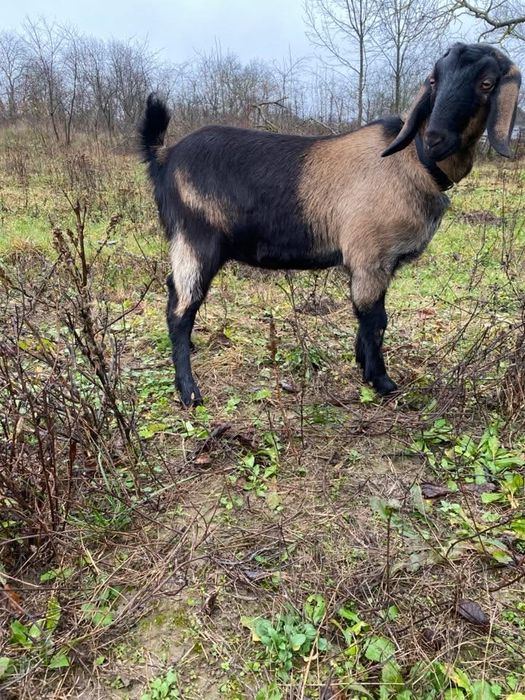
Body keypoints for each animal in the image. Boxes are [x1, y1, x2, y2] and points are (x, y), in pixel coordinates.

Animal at [140, 43, 521, 407]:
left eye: (487, 84)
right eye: (434, 80)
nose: (436, 138)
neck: (413, 160)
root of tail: (164, 157)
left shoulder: (381, 262)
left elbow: (374, 318)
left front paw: (363, 366)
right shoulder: (369, 255)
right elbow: (373, 319)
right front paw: (382, 382)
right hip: (196, 238)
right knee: (181, 310)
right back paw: (189, 393)